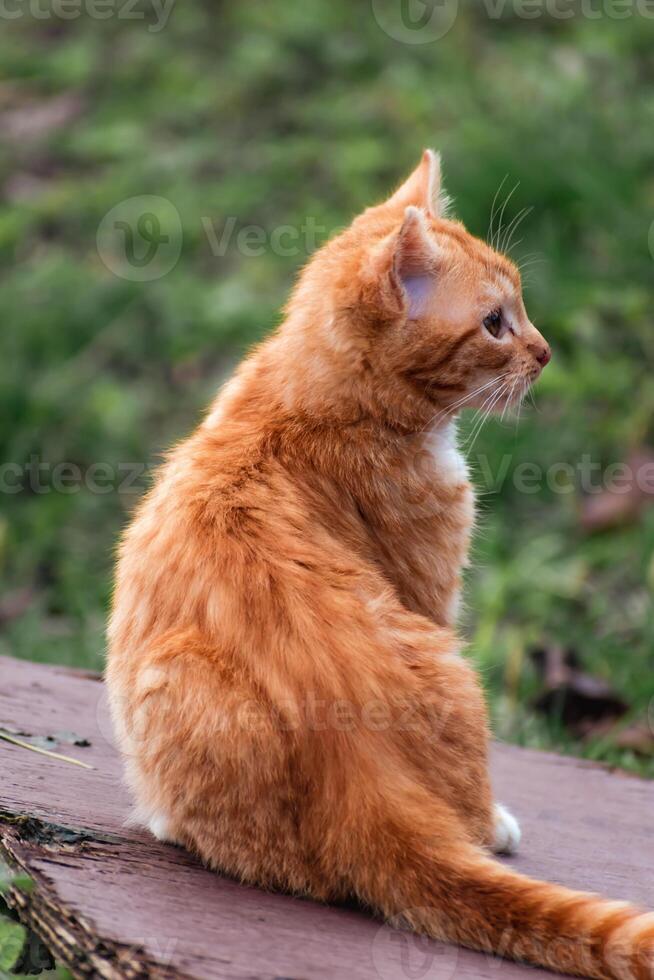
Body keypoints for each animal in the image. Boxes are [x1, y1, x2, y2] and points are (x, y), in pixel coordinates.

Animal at [109, 155, 654, 980]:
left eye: (521, 307)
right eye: (496, 323)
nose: (545, 351)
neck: (304, 404)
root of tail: (369, 783)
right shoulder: (432, 588)